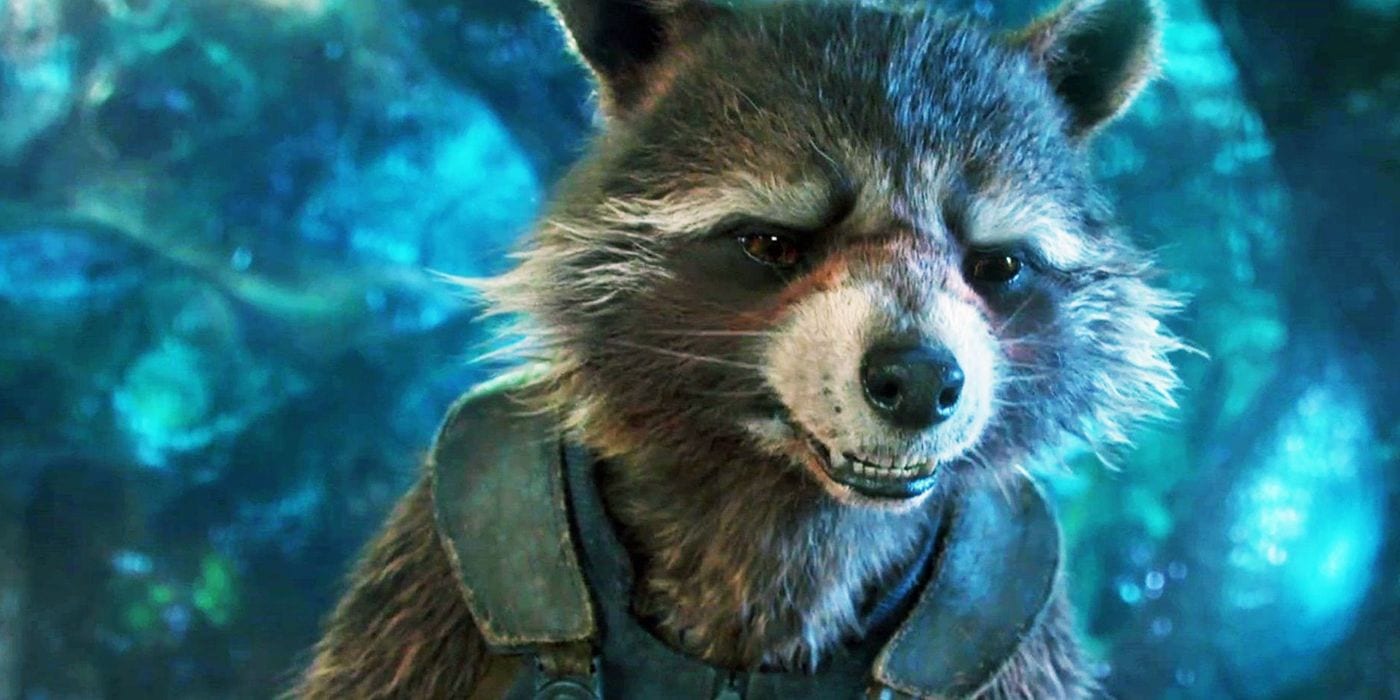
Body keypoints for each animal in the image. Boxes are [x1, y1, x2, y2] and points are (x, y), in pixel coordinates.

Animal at [296, 0, 1182, 697]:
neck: (789, 497)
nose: (921, 379)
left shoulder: (1014, 634)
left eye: (995, 266)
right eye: (771, 244)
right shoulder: (435, 571)